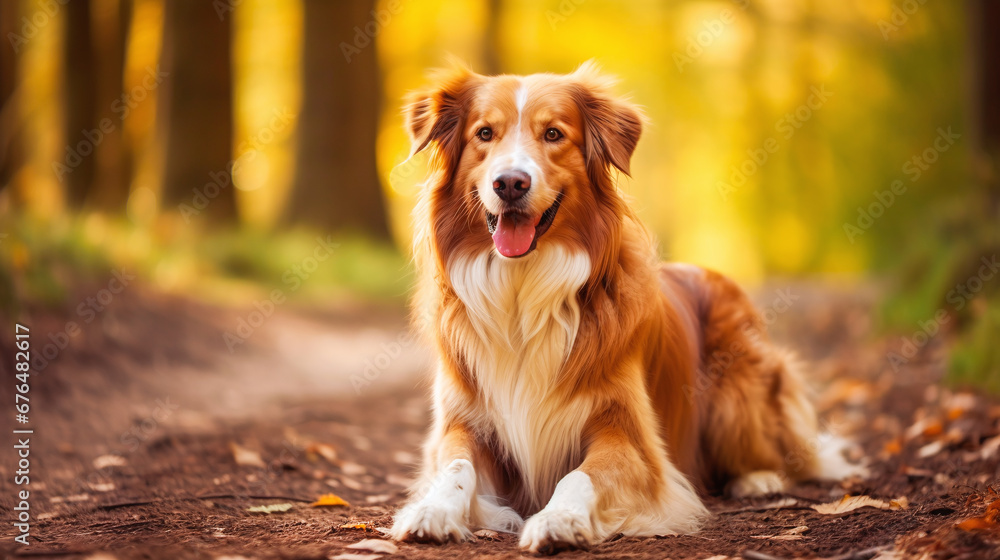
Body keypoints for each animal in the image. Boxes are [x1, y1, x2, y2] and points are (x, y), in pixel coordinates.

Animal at [390, 63, 860, 552]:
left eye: (553, 133)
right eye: (484, 133)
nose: (510, 183)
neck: (522, 290)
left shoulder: (628, 435)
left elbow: (579, 476)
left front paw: (559, 519)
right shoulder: (462, 422)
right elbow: (453, 467)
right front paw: (431, 509)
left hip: (738, 395)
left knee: (783, 453)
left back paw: (758, 479)